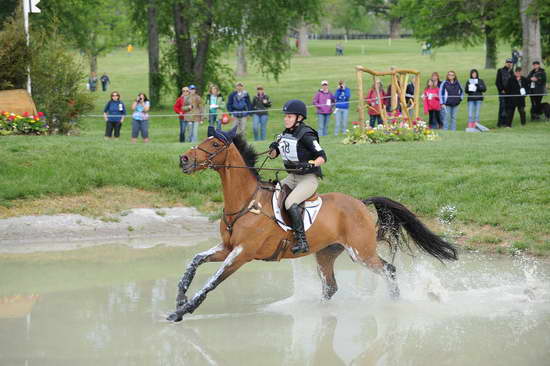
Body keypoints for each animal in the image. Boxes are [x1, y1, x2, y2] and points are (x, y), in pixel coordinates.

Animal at [167, 127, 458, 322]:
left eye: (215, 144)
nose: (184, 159)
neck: (246, 201)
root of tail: (360, 203)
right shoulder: (227, 248)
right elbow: (193, 263)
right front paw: (180, 297)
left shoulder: (242, 253)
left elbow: (212, 281)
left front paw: (181, 311)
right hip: (326, 252)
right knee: (331, 286)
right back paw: (318, 311)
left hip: (361, 253)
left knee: (389, 269)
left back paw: (395, 304)